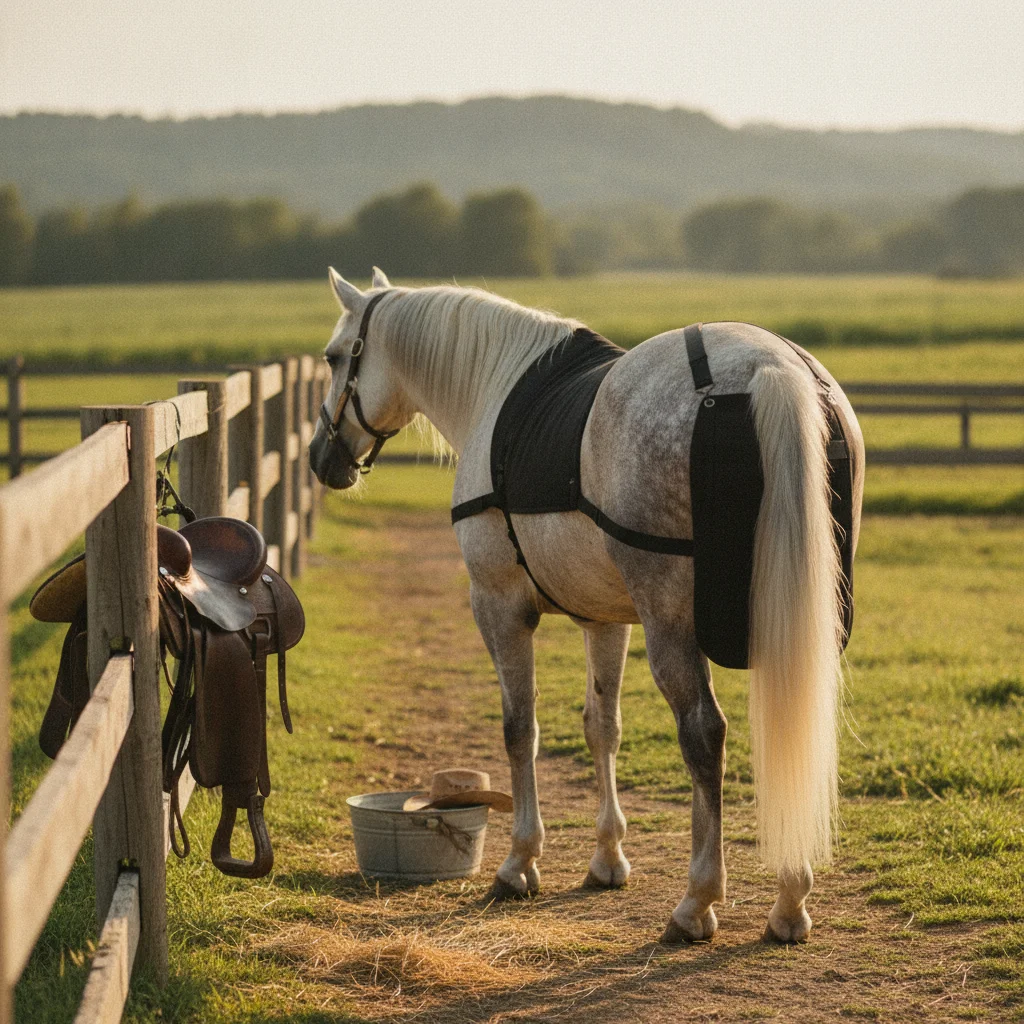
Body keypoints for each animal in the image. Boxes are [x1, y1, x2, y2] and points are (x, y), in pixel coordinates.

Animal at [309, 267, 865, 944]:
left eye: (336, 357)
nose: (322, 459)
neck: (493, 389)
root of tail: (769, 368)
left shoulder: (499, 607)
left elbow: (520, 729)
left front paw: (520, 861)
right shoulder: (604, 621)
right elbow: (602, 727)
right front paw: (607, 857)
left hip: (670, 624)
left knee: (704, 733)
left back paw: (698, 900)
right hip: (785, 622)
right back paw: (789, 898)